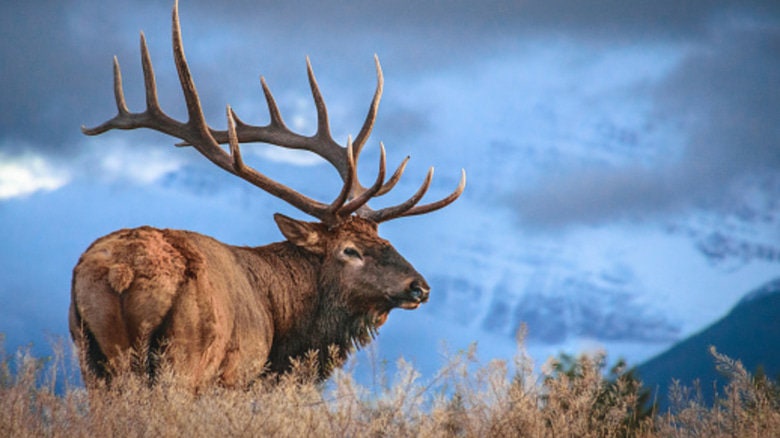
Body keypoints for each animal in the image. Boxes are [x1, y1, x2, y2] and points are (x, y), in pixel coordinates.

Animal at [69, 1, 465, 390]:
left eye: (386, 242)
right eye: (350, 250)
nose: (419, 287)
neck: (283, 329)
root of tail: (122, 272)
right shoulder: (237, 374)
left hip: (90, 356)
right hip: (184, 356)